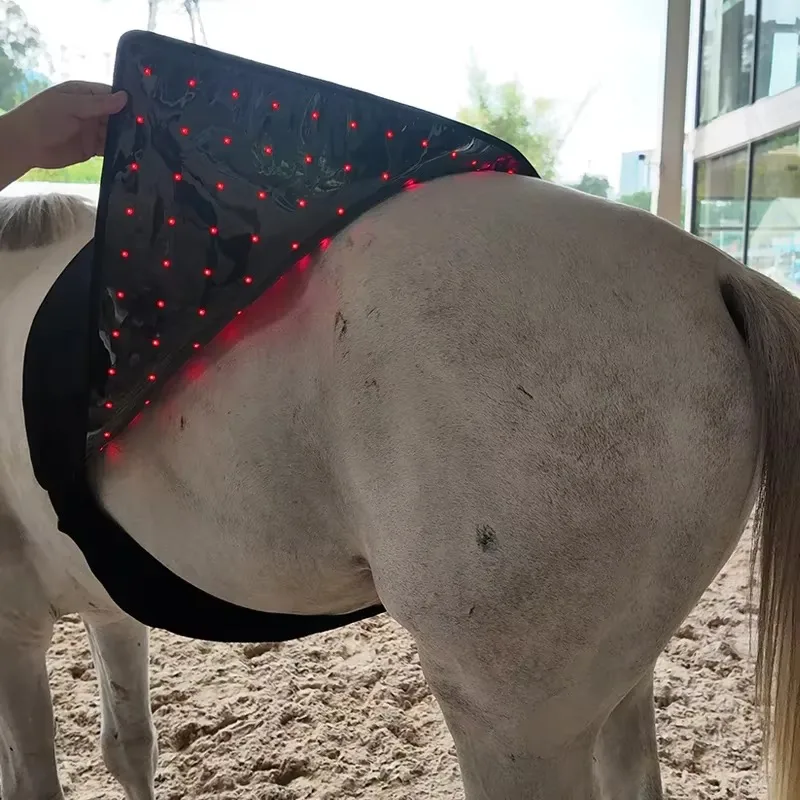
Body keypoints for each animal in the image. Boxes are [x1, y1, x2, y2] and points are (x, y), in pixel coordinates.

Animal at [0, 170, 797, 800]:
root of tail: (712, 271)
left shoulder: (17, 629)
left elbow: (31, 775)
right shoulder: (109, 609)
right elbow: (129, 748)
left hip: (516, 726)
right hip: (619, 683)